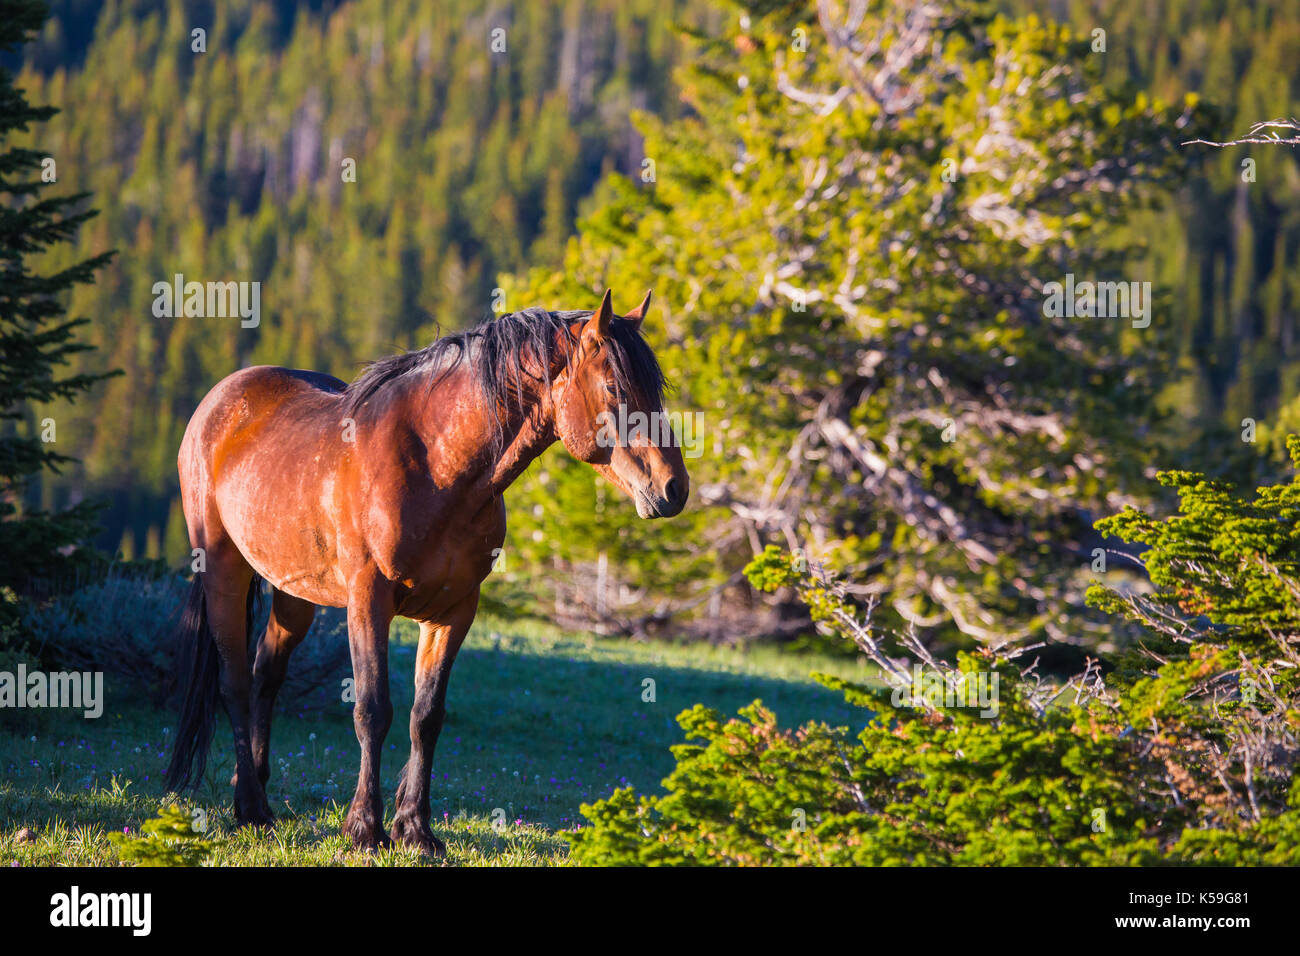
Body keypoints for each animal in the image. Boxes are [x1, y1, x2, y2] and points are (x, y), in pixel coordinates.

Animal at [163, 290, 689, 854]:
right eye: (614, 387)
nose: (674, 488)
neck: (435, 464)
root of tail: (220, 401)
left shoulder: (453, 611)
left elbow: (426, 717)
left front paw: (415, 829)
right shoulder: (368, 601)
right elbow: (373, 710)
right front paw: (365, 829)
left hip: (294, 592)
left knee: (266, 676)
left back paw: (257, 792)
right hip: (224, 572)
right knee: (236, 683)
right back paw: (250, 808)